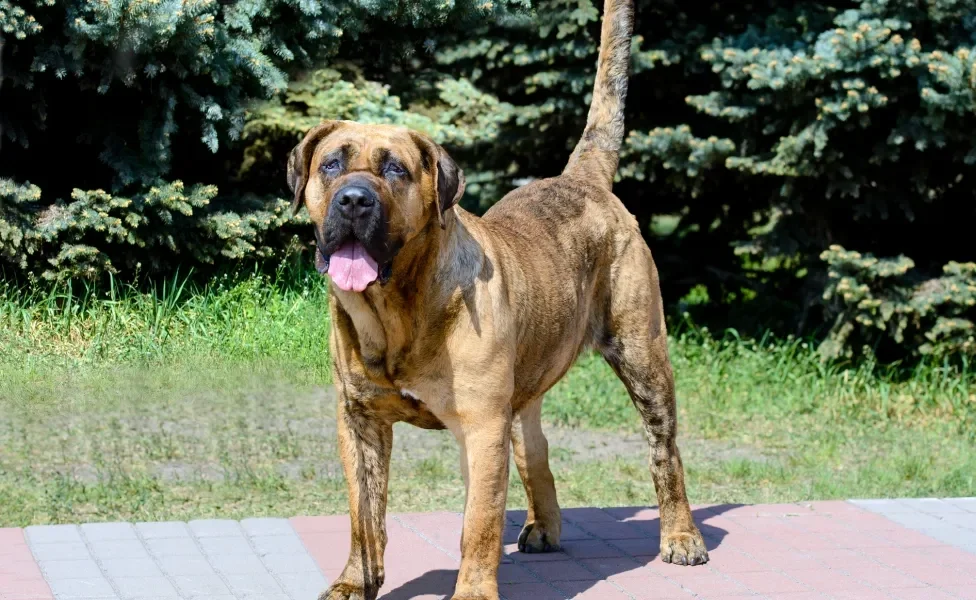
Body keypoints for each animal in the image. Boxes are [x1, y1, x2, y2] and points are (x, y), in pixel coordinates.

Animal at [286, 0, 704, 596]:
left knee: (664, 450)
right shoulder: (359, 421)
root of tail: (584, 179)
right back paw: (544, 527)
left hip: (642, 354)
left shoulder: (482, 426)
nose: (354, 200)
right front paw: (354, 582)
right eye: (332, 165)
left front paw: (473, 590)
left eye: (394, 168)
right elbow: (364, 516)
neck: (396, 311)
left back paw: (682, 537)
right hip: (526, 386)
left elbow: (479, 523)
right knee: (535, 451)